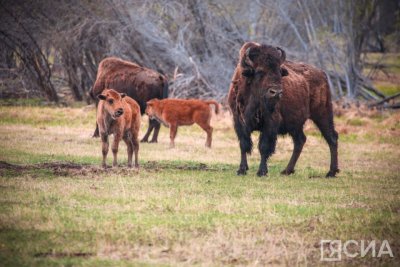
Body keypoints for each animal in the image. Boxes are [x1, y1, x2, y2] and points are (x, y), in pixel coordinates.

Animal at [228, 42, 338, 178]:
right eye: (259, 71)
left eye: (279, 71)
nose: (276, 92)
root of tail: (322, 74)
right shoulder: (239, 121)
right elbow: (244, 145)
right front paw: (241, 170)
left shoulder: (270, 123)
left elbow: (264, 147)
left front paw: (262, 172)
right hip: (295, 124)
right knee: (300, 141)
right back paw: (287, 170)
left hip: (322, 114)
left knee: (331, 138)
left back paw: (331, 172)